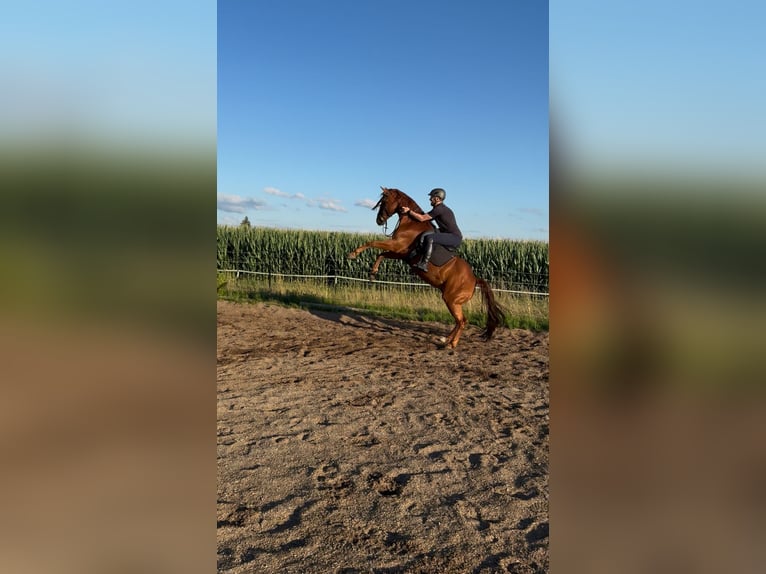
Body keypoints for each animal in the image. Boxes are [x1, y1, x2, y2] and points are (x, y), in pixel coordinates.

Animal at [347, 186, 506, 348]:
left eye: (384, 201)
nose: (379, 220)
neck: (411, 224)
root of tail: (474, 279)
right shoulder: (400, 253)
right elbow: (381, 255)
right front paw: (373, 273)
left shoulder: (397, 246)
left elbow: (372, 243)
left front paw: (353, 254)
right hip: (452, 300)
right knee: (459, 321)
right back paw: (445, 339)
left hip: (451, 299)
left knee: (462, 321)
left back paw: (452, 344)